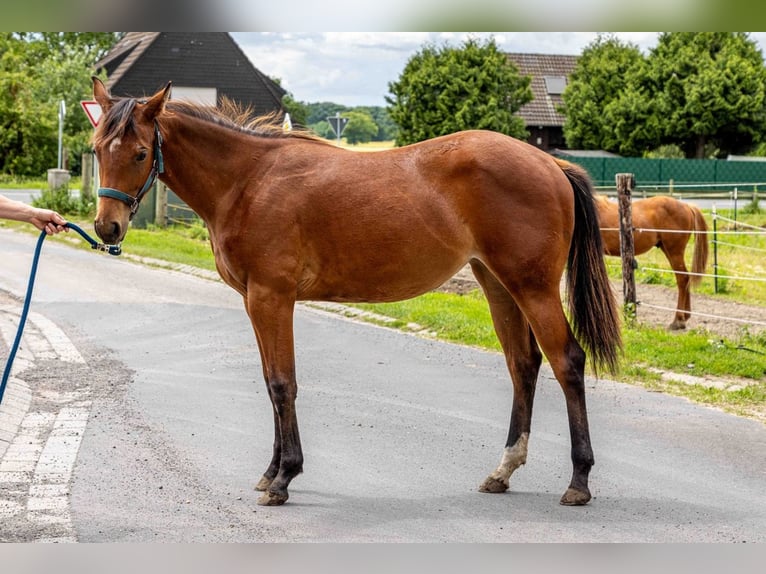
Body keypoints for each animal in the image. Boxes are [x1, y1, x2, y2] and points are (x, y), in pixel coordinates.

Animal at [91, 77, 621, 507]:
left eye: (140, 153)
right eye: (97, 150)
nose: (107, 227)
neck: (248, 181)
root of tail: (550, 162)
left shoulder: (271, 298)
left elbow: (283, 383)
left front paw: (284, 478)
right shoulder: (254, 301)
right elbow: (269, 382)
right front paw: (270, 472)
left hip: (532, 287)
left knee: (567, 361)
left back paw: (579, 481)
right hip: (497, 284)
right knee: (523, 364)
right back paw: (503, 470)